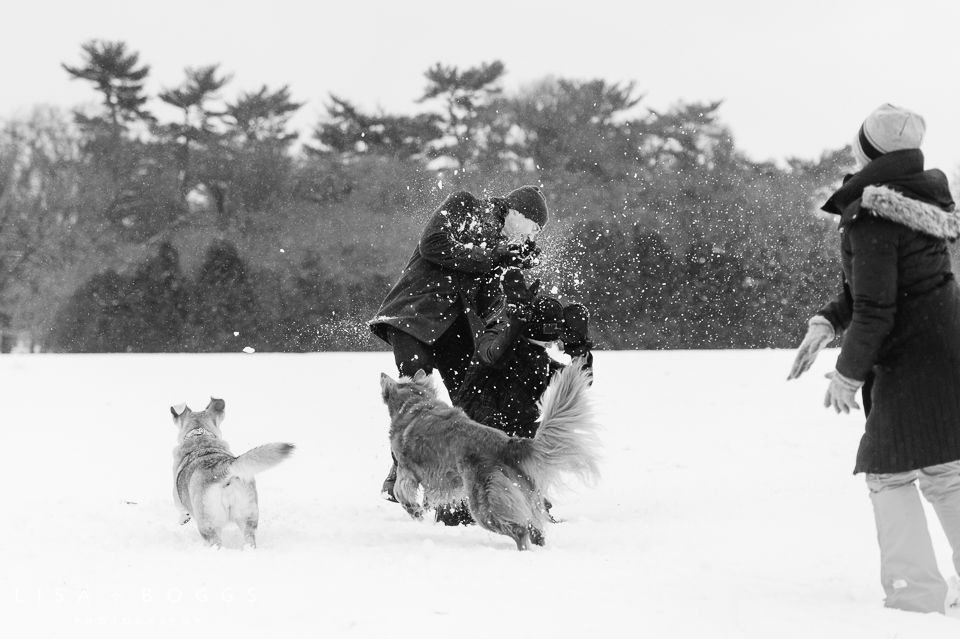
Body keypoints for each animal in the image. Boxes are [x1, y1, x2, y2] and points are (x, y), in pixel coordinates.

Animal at [171, 398, 294, 548]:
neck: (200, 437)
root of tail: (225, 468)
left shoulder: (176, 495)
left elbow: (181, 509)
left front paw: (183, 519)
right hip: (248, 517)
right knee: (249, 540)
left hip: (208, 525)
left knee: (215, 543)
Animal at [376, 360, 596, 552]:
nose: (382, 375)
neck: (415, 403)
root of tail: (507, 444)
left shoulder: (406, 468)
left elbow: (400, 491)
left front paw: (415, 511)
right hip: (525, 496)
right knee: (536, 530)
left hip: (484, 504)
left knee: (520, 530)